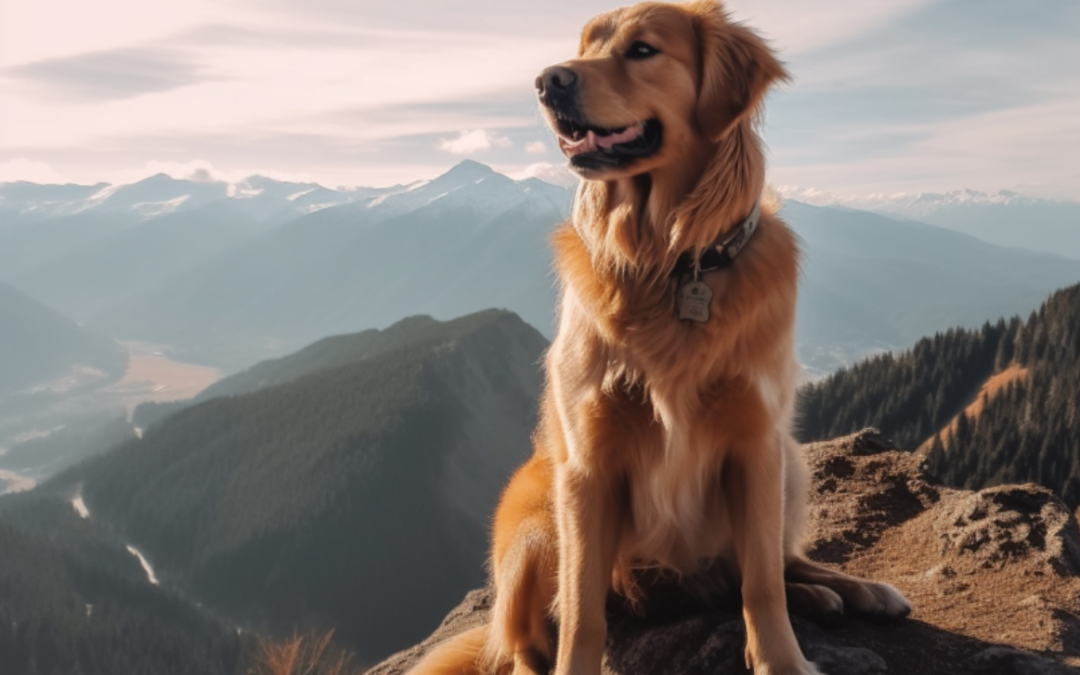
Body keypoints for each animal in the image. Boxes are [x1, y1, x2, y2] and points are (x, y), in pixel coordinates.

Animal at [408, 1, 907, 673]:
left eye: (642, 49)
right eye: (585, 46)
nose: (546, 81)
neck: (671, 259)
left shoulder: (756, 442)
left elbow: (761, 584)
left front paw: (782, 656)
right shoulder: (588, 465)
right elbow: (582, 612)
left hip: (790, 463)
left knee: (772, 564)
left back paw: (848, 590)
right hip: (534, 519)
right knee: (525, 641)